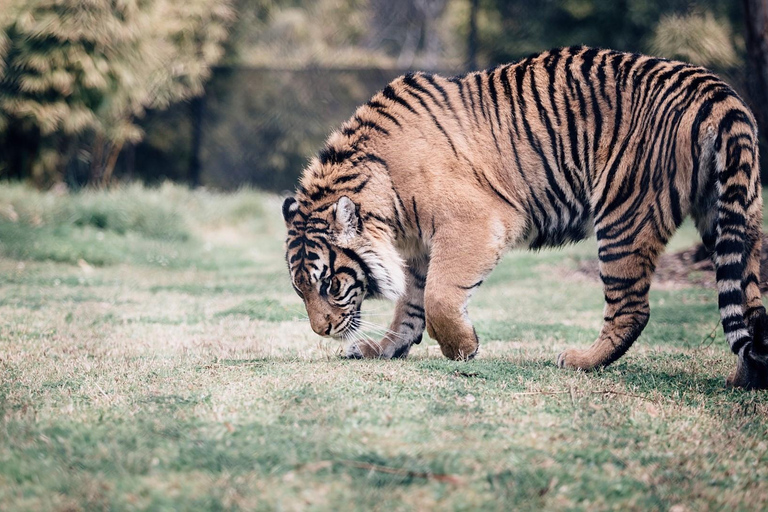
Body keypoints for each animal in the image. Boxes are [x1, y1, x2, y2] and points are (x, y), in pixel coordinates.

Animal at [280, 46, 768, 388]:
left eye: (330, 284)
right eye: (299, 288)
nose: (322, 331)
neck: (384, 197)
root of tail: (717, 91)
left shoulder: (475, 222)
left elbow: (438, 296)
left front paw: (463, 349)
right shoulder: (418, 248)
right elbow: (410, 305)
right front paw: (383, 348)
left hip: (623, 215)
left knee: (632, 307)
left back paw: (581, 361)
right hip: (730, 215)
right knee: (748, 302)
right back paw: (745, 377)